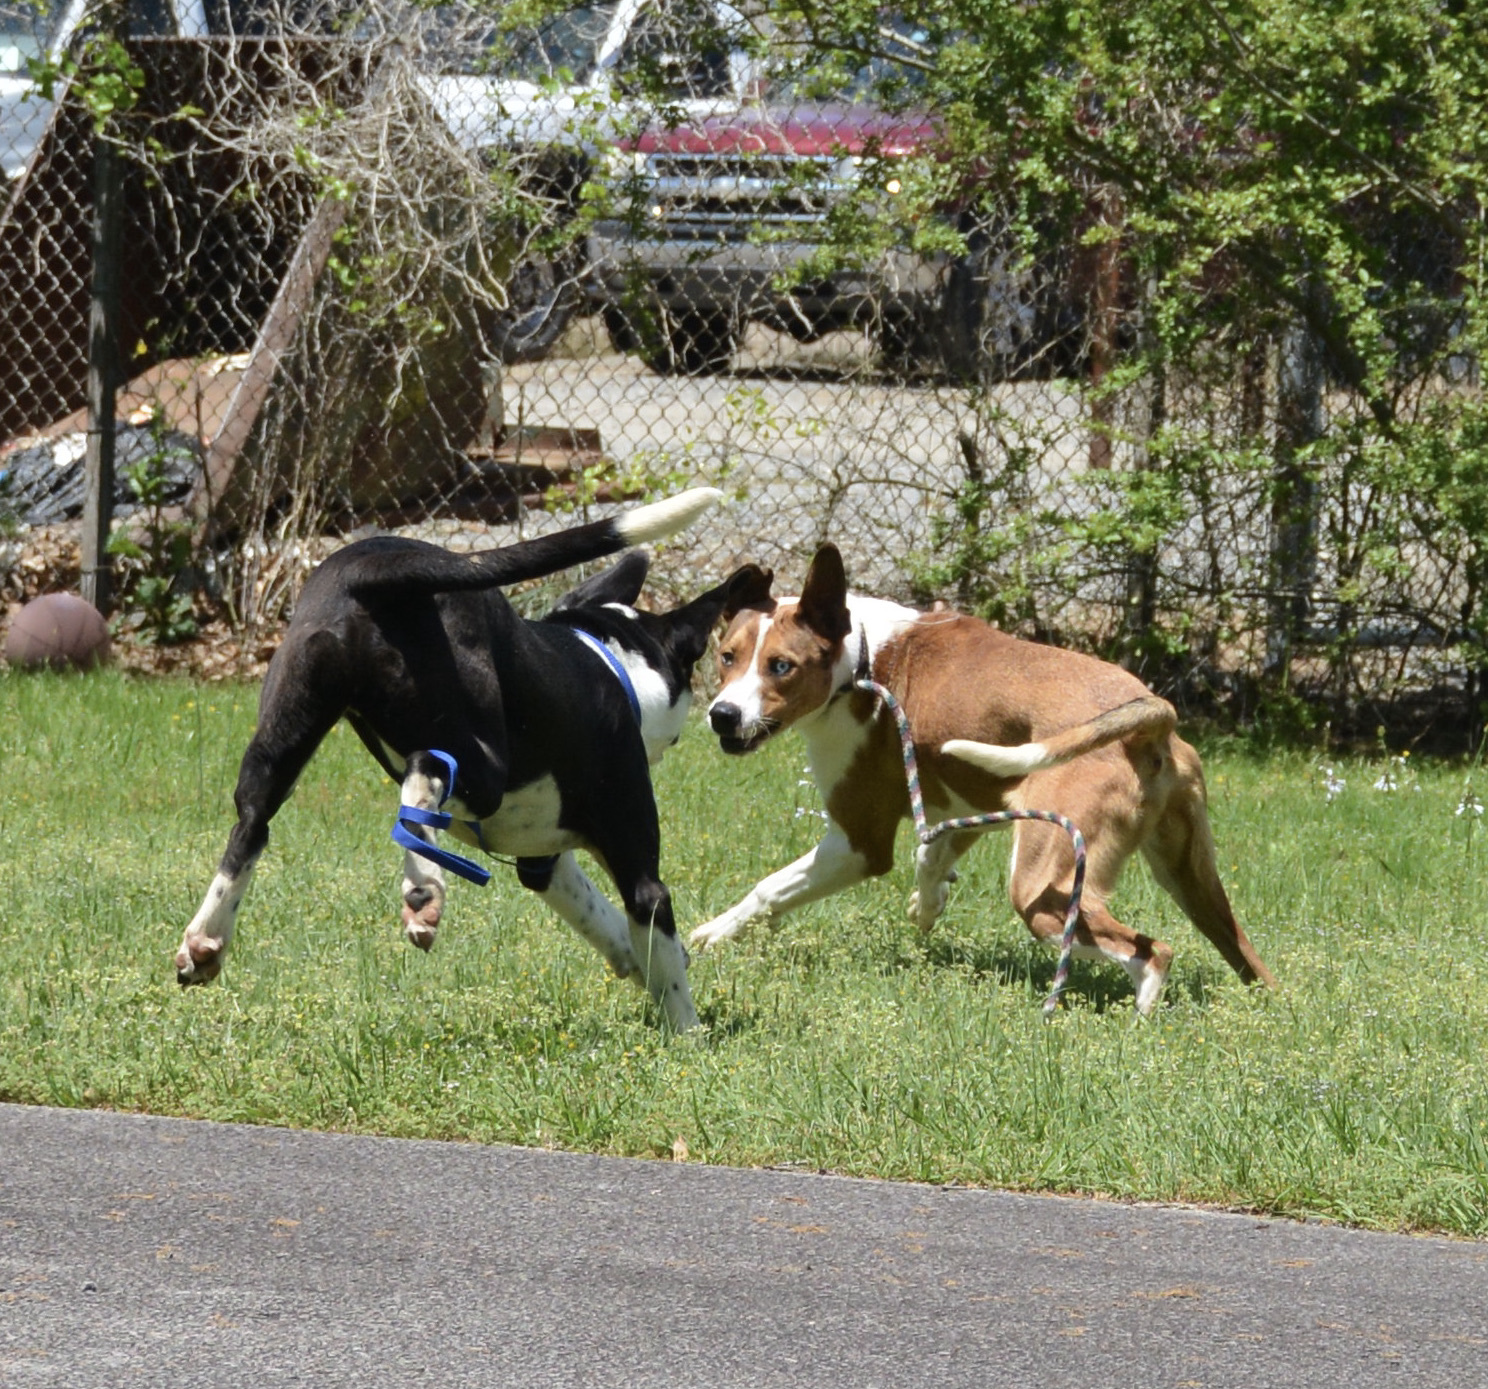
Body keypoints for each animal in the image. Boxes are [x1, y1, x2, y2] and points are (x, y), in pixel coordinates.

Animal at [177, 482, 767, 1024]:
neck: (613, 662)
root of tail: (379, 567)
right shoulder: (637, 869)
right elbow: (658, 939)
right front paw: (688, 1035)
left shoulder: (544, 862)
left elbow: (606, 921)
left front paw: (633, 959)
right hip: (483, 764)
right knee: (428, 769)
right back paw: (423, 888)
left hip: (283, 736)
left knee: (252, 825)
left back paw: (205, 939)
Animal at [693, 547, 1267, 1012]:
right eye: (727, 657)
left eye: (781, 666)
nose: (722, 716)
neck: (861, 661)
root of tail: (1151, 714)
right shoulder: (976, 796)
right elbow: (931, 856)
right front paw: (927, 905)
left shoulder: (859, 841)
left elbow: (768, 890)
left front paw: (709, 936)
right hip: (1190, 877)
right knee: (1246, 959)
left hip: (1044, 891)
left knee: (1151, 954)